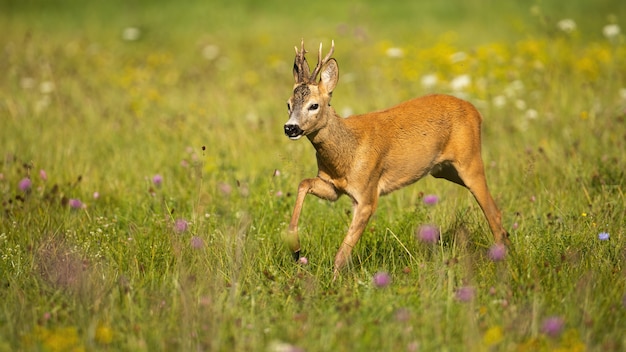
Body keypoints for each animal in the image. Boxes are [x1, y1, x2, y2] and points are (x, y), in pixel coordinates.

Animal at [282, 40, 508, 278]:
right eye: (288, 104)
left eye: (314, 105)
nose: (290, 128)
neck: (346, 154)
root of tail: (476, 112)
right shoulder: (332, 187)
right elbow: (303, 183)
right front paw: (295, 248)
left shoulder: (367, 193)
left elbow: (343, 252)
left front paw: (334, 282)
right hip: (445, 170)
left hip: (470, 161)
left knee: (494, 213)